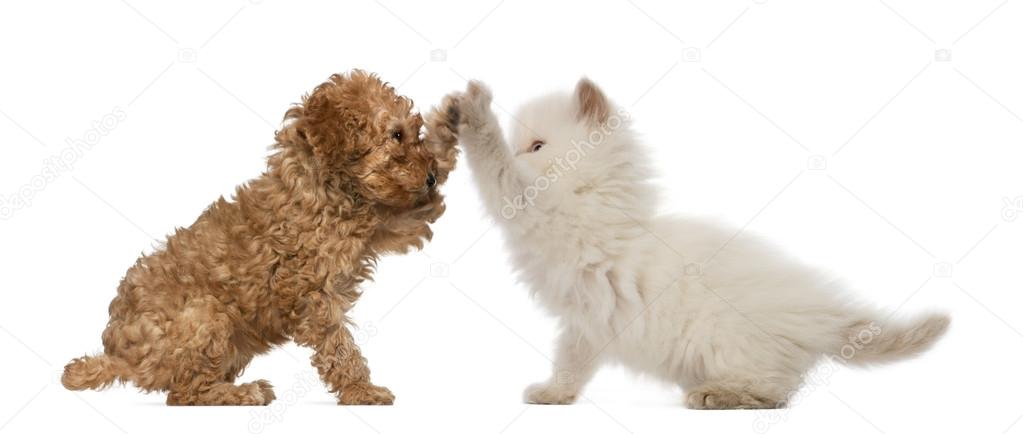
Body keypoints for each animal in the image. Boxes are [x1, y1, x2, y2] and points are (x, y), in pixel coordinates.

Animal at [62, 69, 460, 405]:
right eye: (396, 135)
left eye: (413, 133)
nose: (428, 176)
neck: (329, 186)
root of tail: (118, 357)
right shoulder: (312, 291)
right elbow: (338, 347)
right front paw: (362, 391)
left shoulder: (381, 226)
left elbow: (422, 209)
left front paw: (448, 128)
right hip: (207, 315)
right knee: (184, 393)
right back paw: (243, 393)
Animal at [452, 79, 945, 409]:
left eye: (537, 146)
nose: (524, 152)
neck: (595, 193)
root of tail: (822, 313)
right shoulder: (586, 321)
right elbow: (571, 360)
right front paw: (556, 394)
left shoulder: (531, 206)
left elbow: (495, 165)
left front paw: (473, 111)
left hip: (730, 345)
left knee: (776, 391)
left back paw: (713, 395)